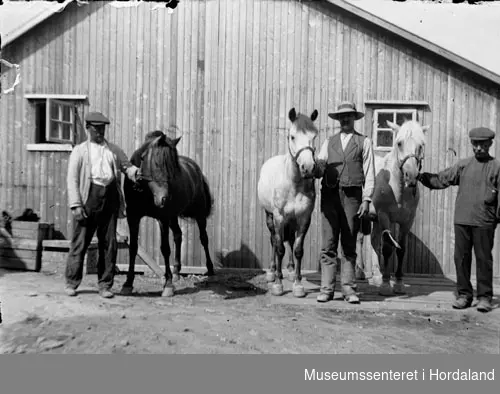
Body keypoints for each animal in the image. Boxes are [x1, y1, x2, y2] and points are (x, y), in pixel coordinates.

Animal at [122, 131, 216, 298]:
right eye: (158, 164)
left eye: (174, 167)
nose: (165, 198)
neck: (144, 190)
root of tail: (195, 168)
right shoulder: (133, 217)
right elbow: (133, 247)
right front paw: (128, 283)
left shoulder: (163, 218)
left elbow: (165, 248)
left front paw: (168, 285)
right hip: (173, 217)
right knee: (178, 235)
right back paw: (177, 271)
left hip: (199, 214)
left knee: (204, 238)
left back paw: (210, 270)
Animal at [256, 107, 318, 298]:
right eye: (292, 136)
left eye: (314, 136)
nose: (308, 168)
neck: (294, 184)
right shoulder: (279, 217)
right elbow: (279, 248)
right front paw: (277, 284)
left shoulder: (304, 218)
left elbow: (298, 250)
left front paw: (298, 284)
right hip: (270, 217)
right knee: (274, 241)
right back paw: (272, 272)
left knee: (289, 240)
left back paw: (289, 271)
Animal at [364, 120, 430, 296]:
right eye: (399, 143)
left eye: (421, 145)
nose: (411, 176)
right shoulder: (384, 216)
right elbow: (387, 248)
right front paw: (386, 285)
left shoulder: (407, 221)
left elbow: (401, 249)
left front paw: (399, 284)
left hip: (375, 220)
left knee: (374, 241)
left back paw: (377, 275)